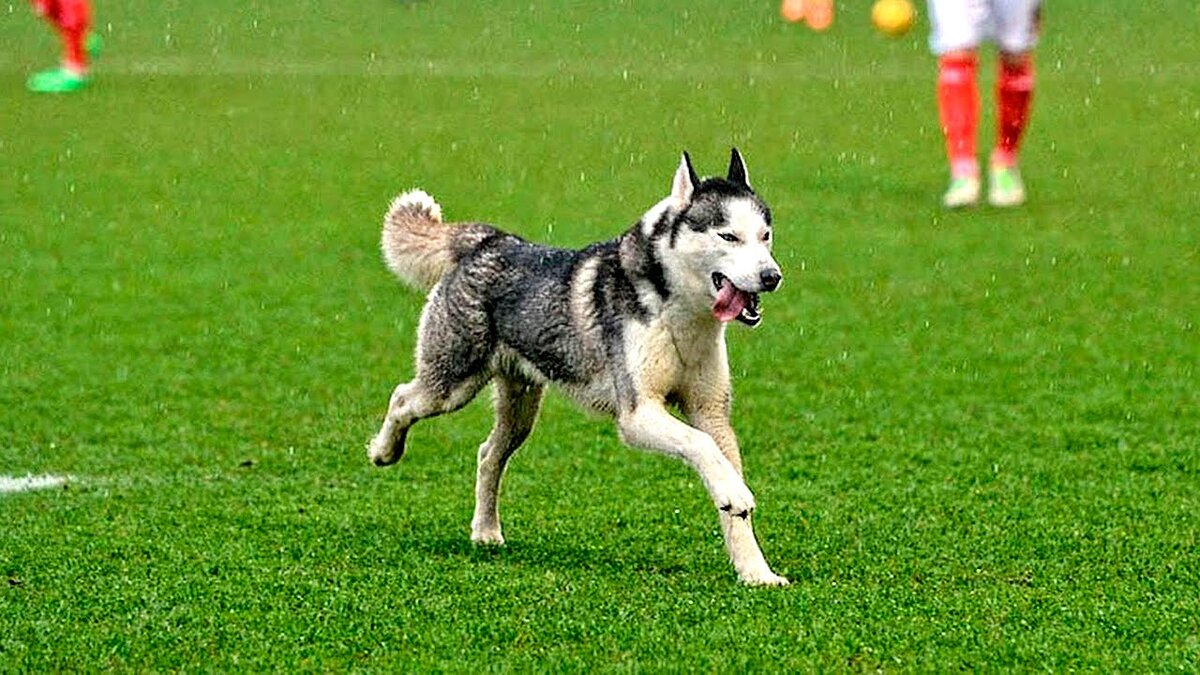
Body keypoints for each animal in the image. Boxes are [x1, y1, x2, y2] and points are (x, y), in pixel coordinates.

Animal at [369, 148, 792, 583]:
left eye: (765, 235)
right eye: (728, 236)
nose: (772, 276)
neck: (681, 315)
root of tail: (487, 241)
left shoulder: (711, 413)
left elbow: (729, 491)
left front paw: (758, 573)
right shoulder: (637, 415)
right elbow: (700, 446)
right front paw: (734, 495)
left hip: (520, 409)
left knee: (488, 454)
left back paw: (486, 532)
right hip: (452, 384)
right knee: (402, 398)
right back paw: (384, 452)